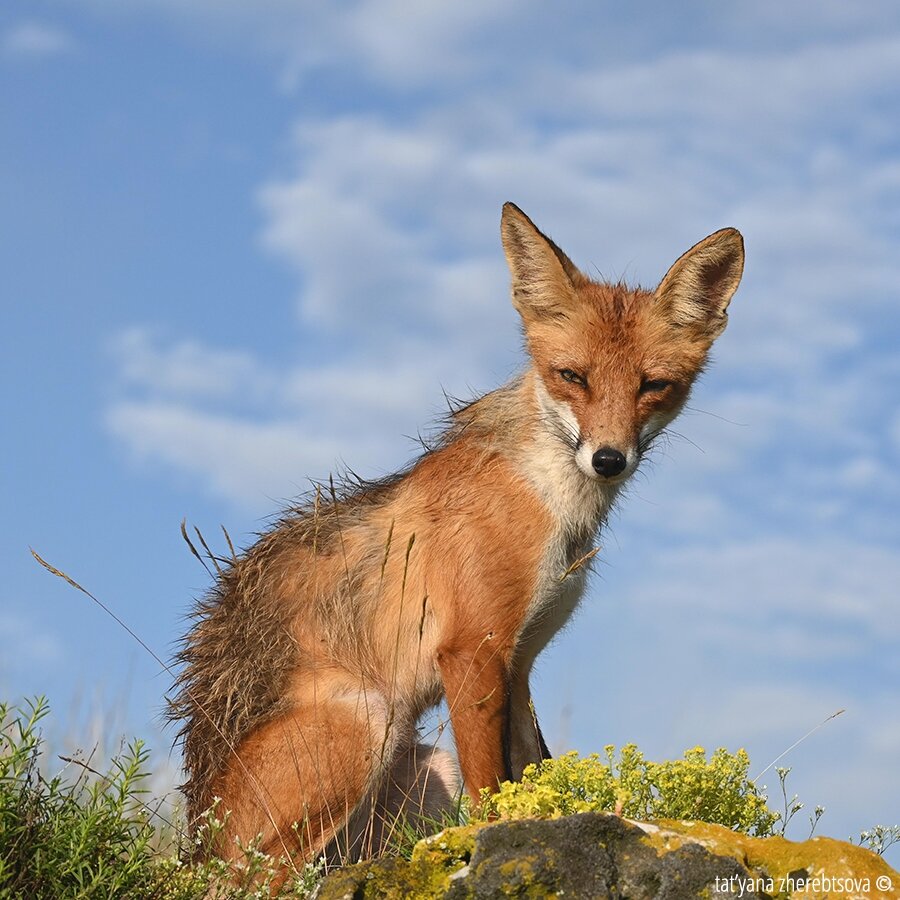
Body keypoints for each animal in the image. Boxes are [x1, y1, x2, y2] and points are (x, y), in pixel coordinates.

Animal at [171, 200, 744, 876]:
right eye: (572, 376)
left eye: (653, 386)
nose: (608, 459)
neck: (548, 503)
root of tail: (196, 835)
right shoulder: (472, 649)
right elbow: (492, 789)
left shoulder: (519, 662)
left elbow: (531, 770)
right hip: (366, 719)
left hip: (422, 767)